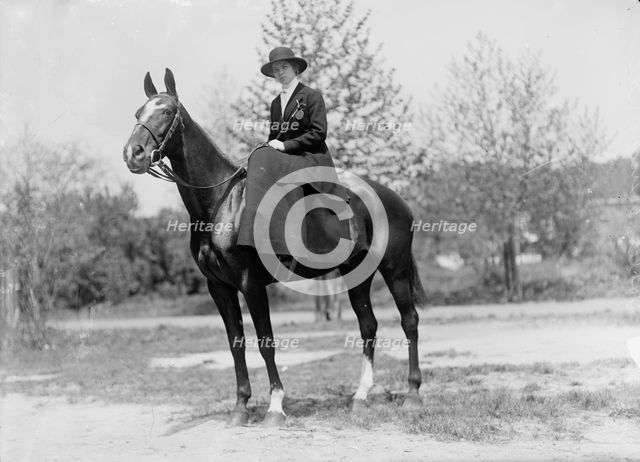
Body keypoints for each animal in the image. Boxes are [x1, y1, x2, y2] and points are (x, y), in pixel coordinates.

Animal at [123, 68, 427, 427]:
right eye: (138, 113)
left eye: (167, 112)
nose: (133, 154)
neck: (220, 204)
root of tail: (397, 199)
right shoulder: (219, 288)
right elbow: (236, 343)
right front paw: (240, 406)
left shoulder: (251, 283)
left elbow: (265, 342)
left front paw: (275, 407)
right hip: (358, 275)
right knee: (369, 326)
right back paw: (360, 396)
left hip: (395, 269)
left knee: (409, 321)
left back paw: (412, 394)